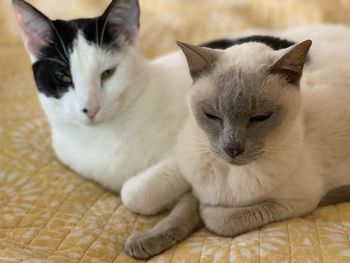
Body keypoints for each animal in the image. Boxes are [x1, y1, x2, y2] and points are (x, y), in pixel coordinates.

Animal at [123, 36, 350, 260]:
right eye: (212, 116)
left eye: (260, 118)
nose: (232, 149)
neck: (229, 174)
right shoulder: (199, 189)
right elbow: (178, 216)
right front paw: (143, 242)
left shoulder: (297, 202)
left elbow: (220, 219)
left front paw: (207, 213)